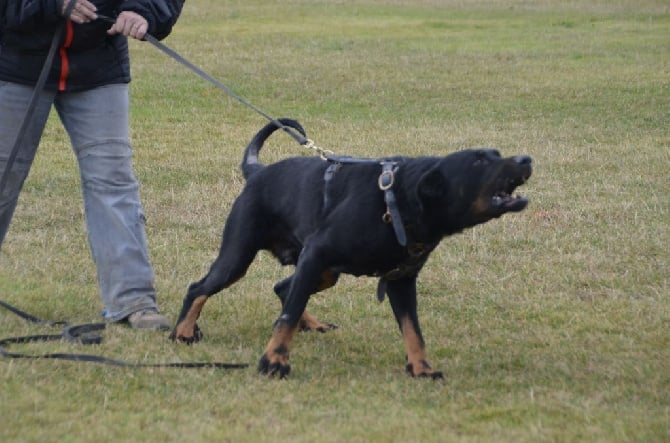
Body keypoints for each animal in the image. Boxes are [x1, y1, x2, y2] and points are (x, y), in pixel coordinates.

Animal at [172, 119, 536, 380]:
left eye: (497, 153)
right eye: (478, 161)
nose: (526, 158)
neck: (397, 202)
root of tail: (257, 172)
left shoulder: (400, 281)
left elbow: (414, 331)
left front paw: (421, 368)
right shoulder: (317, 252)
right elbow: (286, 318)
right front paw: (273, 362)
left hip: (323, 272)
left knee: (283, 287)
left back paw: (312, 324)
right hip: (240, 256)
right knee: (200, 288)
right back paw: (183, 332)